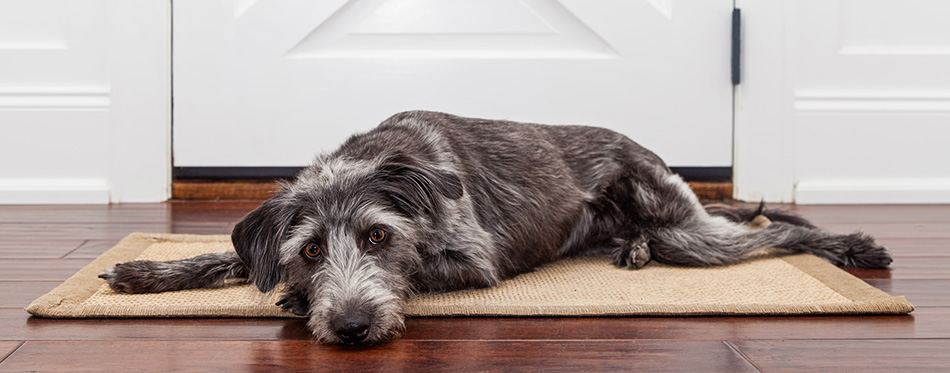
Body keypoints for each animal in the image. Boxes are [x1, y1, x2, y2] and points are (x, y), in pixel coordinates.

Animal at [96, 109, 892, 342]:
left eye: (378, 237)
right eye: (312, 247)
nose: (351, 327)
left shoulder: (473, 261)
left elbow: (424, 269)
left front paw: (296, 301)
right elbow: (227, 257)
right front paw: (143, 272)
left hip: (687, 229)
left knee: (772, 234)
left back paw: (849, 244)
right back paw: (630, 250)